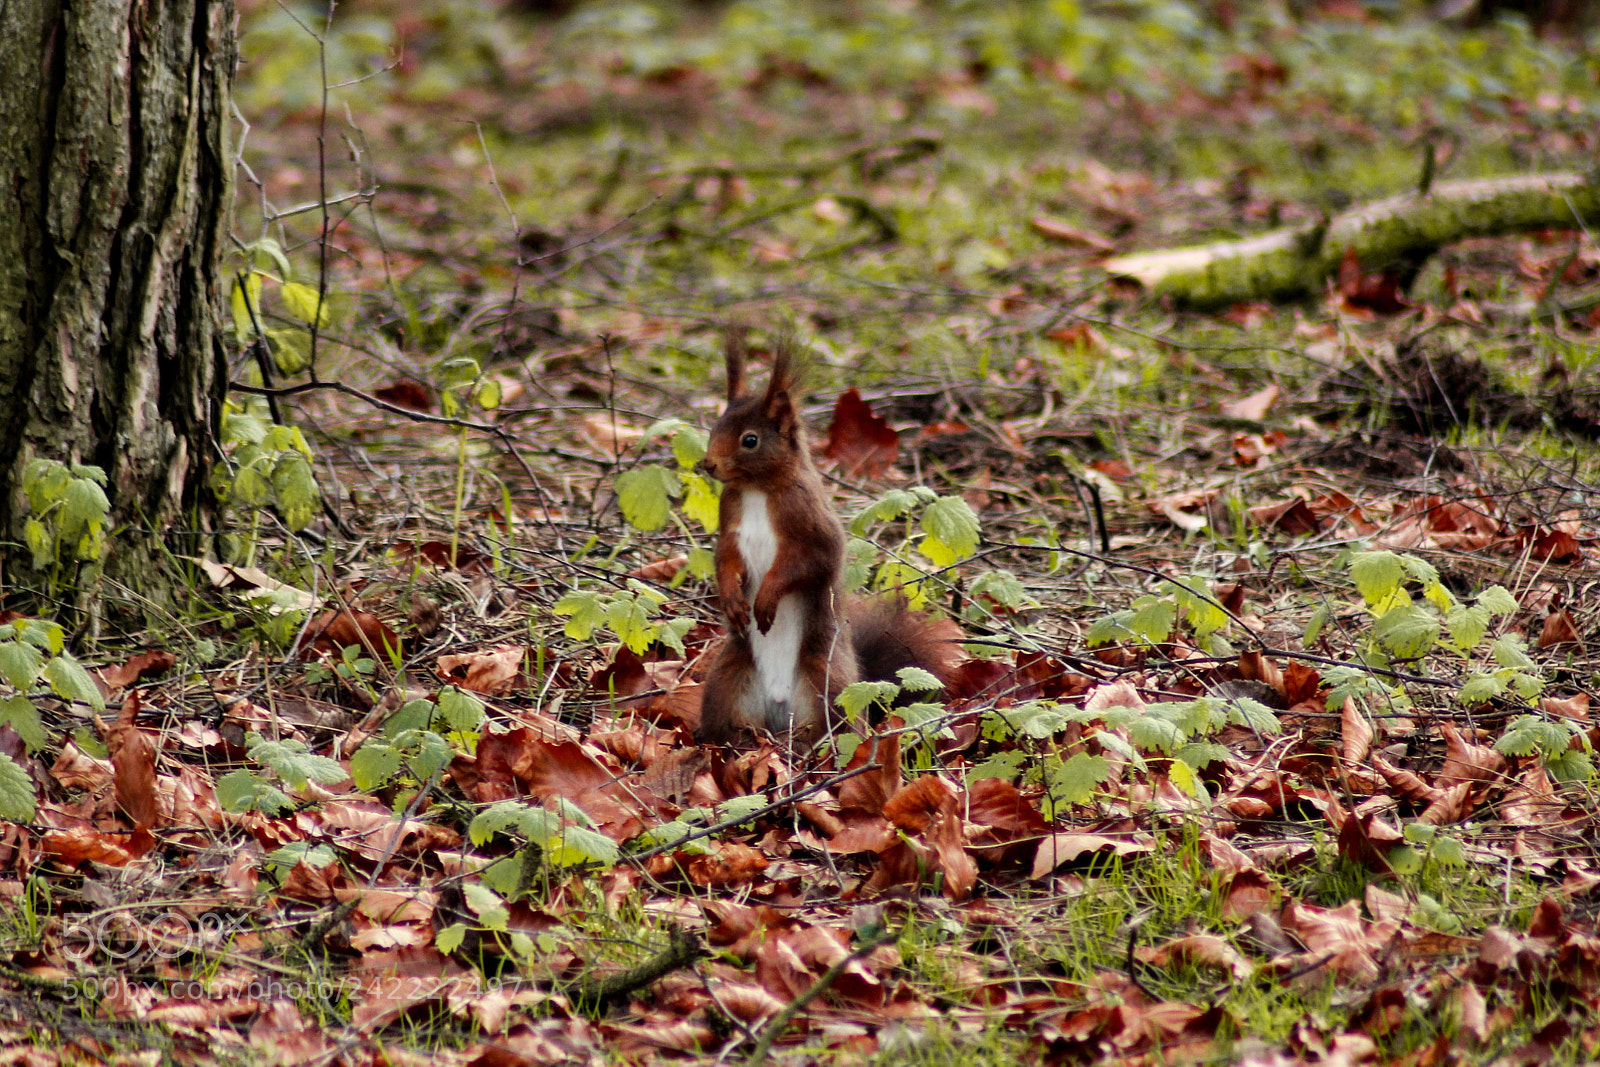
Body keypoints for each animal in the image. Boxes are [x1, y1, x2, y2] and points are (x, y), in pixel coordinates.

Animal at [695, 329, 960, 745]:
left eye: (750, 440)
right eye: (714, 428)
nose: (707, 465)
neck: (757, 489)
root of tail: (780, 714)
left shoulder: (813, 528)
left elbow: (808, 564)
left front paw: (766, 598)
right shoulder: (731, 525)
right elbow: (726, 559)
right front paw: (732, 599)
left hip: (828, 679)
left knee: (842, 726)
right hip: (726, 679)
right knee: (726, 724)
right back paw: (736, 739)